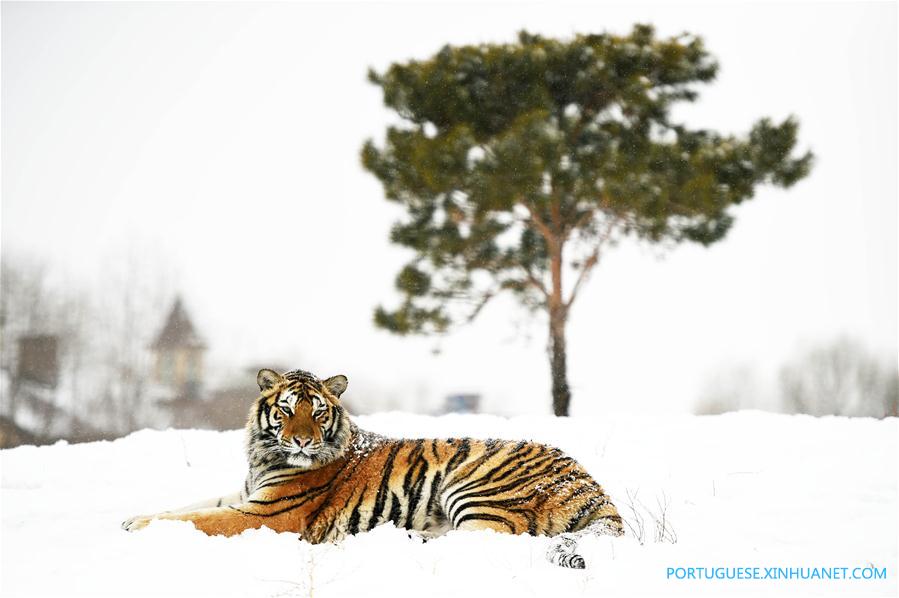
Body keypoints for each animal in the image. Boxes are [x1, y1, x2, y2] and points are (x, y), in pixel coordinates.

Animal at [121, 368, 624, 568]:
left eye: (317, 411)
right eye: (286, 409)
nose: (302, 440)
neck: (264, 457)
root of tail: (593, 486)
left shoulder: (268, 513)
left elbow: (202, 518)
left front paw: (139, 527)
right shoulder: (246, 494)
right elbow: (186, 506)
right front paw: (135, 517)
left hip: (475, 484)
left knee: (489, 537)